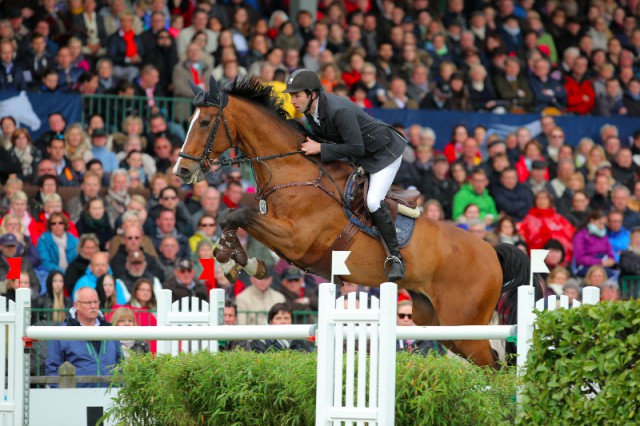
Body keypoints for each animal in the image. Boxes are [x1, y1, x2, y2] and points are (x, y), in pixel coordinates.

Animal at [174, 75, 528, 366]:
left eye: (204, 122)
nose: (181, 171)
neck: (292, 170)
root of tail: (491, 251)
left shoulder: (297, 239)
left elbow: (240, 214)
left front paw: (230, 259)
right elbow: (235, 218)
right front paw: (237, 261)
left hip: (463, 326)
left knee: (496, 366)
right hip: (439, 322)